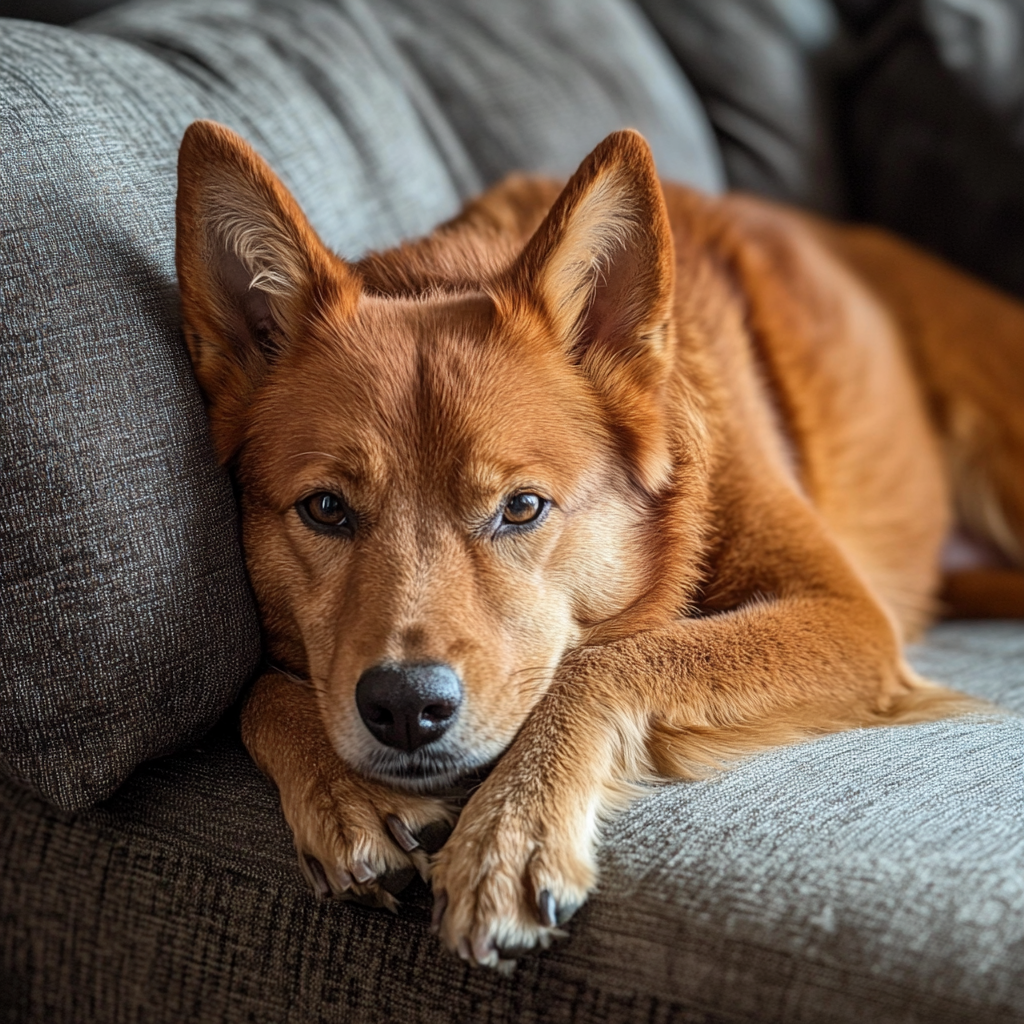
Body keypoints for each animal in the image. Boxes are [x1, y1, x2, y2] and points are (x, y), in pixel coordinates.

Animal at [176, 119, 1024, 966]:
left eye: (521, 508)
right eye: (326, 509)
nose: (406, 707)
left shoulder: (847, 614)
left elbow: (604, 661)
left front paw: (507, 837)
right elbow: (249, 692)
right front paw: (342, 792)